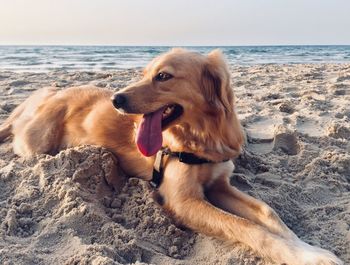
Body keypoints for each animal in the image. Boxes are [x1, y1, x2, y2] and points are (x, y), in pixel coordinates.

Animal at [0, 48, 342, 262]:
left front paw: (310, 251)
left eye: (163, 76)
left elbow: (268, 213)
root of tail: (47, 94)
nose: (115, 99)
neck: (201, 136)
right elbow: (247, 227)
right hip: (35, 142)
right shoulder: (182, 200)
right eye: (144, 74)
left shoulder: (220, 185)